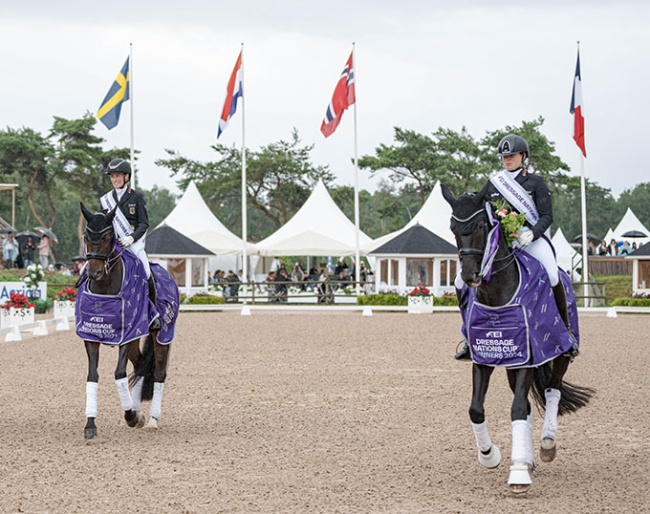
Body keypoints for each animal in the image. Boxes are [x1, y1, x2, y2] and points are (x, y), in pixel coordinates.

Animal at [78, 202, 180, 438]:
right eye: (86, 236)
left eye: (108, 237)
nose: (94, 273)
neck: (105, 287)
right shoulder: (91, 335)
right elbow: (92, 376)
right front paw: (90, 424)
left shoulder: (127, 335)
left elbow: (119, 374)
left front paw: (131, 417)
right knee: (141, 365)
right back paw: (137, 409)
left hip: (162, 336)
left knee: (159, 373)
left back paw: (151, 418)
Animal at [440, 185, 592, 492]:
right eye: (452, 227)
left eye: (481, 225)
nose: (469, 276)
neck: (496, 295)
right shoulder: (484, 358)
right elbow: (476, 409)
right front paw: (490, 455)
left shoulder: (528, 360)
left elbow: (518, 409)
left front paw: (518, 472)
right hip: (512, 365)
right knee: (532, 404)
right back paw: (530, 457)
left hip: (557, 353)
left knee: (553, 390)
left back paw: (547, 443)